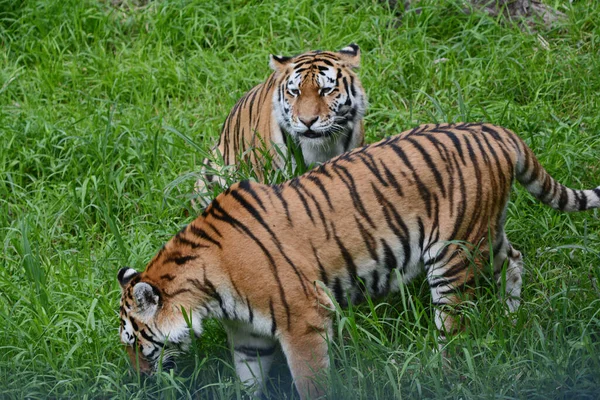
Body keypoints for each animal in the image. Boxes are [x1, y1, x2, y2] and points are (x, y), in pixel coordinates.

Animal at [118, 123, 600, 398]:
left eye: (134, 341)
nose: (138, 381)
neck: (207, 296)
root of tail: (494, 131)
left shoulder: (304, 320)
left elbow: (311, 383)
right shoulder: (248, 337)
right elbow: (248, 381)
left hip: (452, 254)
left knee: (455, 327)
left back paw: (447, 370)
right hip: (484, 232)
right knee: (514, 259)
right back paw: (512, 317)